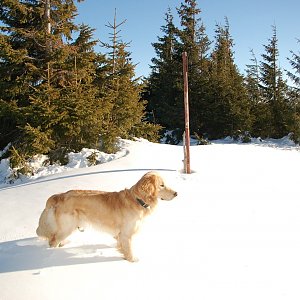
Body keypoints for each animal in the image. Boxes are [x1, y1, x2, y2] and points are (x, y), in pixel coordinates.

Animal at [36, 172, 177, 262]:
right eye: (162, 185)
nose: (176, 193)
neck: (138, 200)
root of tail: (60, 195)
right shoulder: (126, 234)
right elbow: (129, 249)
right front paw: (132, 260)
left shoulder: (120, 235)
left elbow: (121, 246)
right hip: (68, 226)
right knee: (52, 241)